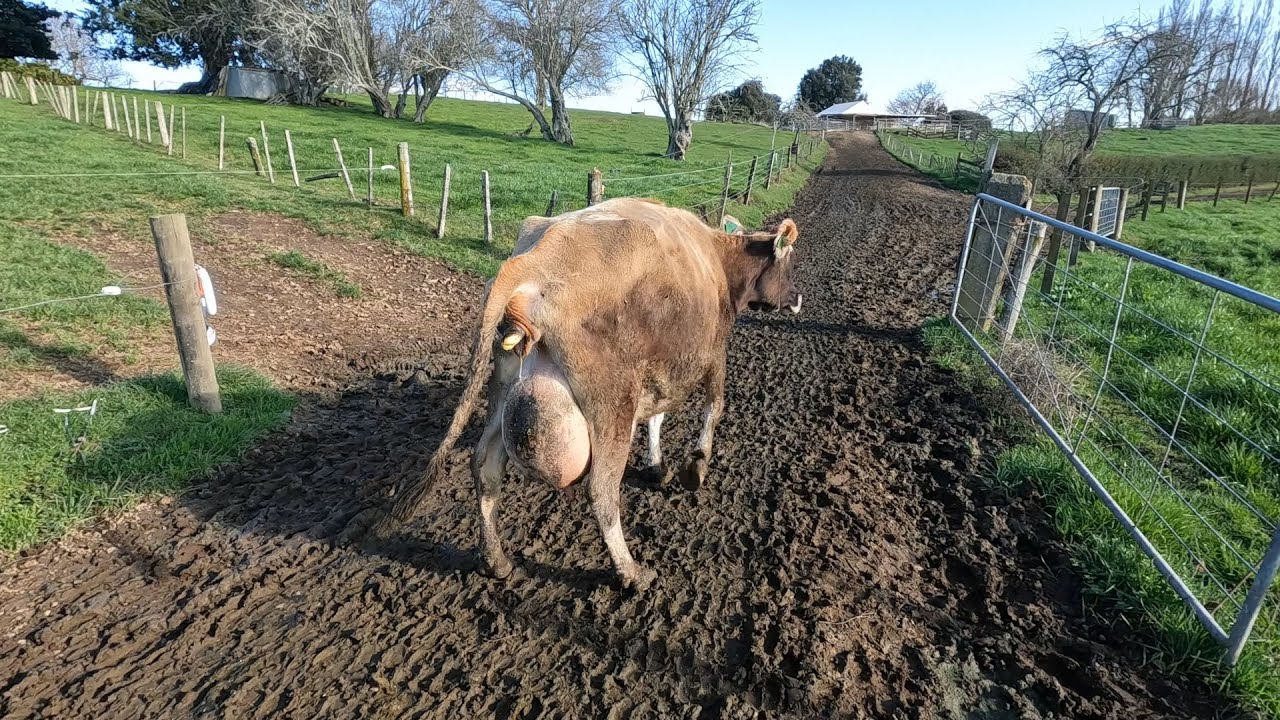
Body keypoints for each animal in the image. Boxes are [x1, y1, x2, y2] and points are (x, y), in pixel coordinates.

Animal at [375, 197, 802, 590]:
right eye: (788, 264)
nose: (797, 299)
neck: (715, 258)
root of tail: (535, 259)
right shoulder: (713, 352)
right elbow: (714, 406)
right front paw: (694, 467)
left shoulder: (657, 370)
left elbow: (656, 417)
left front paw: (657, 464)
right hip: (612, 401)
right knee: (601, 490)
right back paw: (631, 572)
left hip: (504, 385)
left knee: (485, 468)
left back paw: (496, 561)